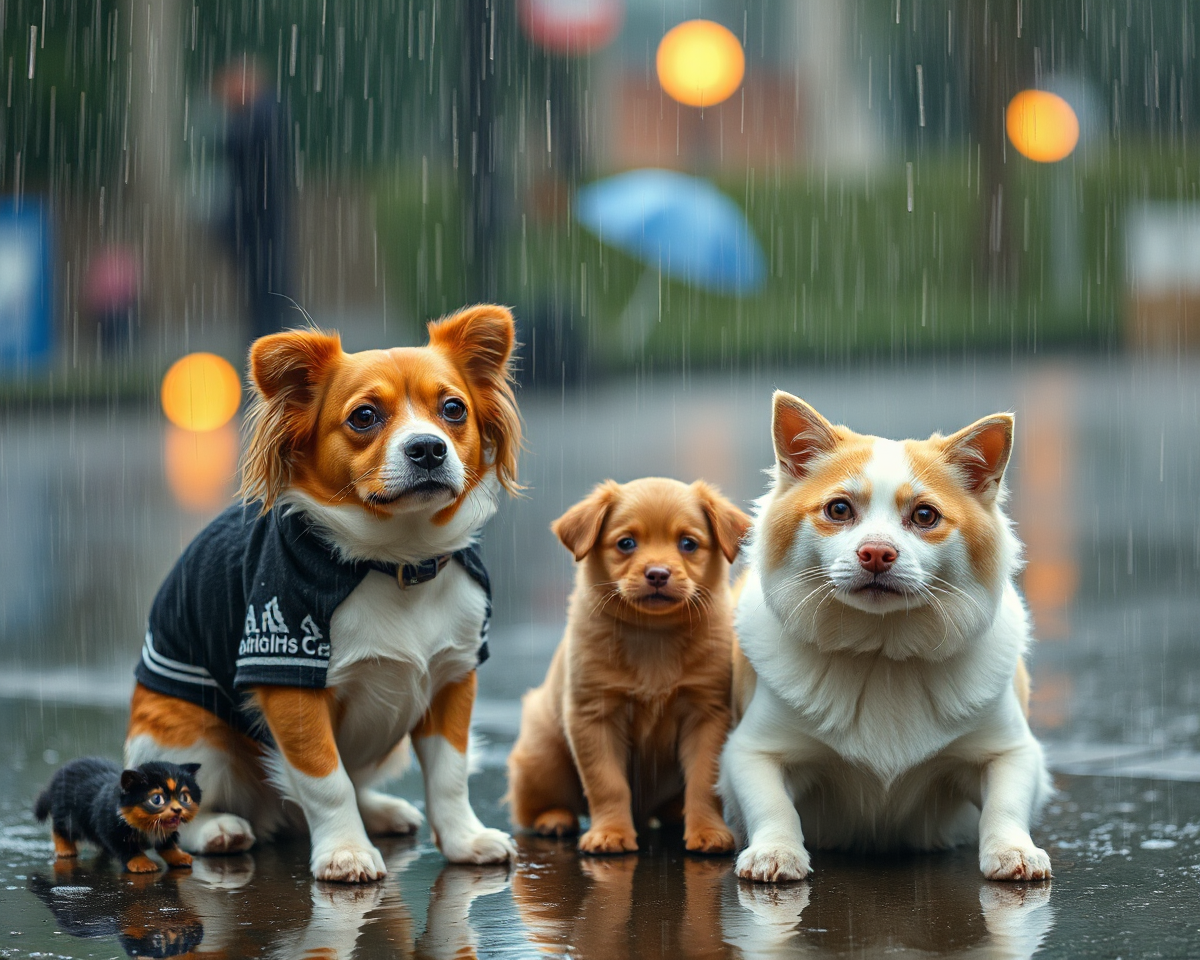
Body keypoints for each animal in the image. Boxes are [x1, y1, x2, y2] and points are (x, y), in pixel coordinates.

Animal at [34, 763, 201, 873]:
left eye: (184, 797)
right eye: (156, 799)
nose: (177, 810)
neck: (146, 825)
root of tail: (53, 783)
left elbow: (168, 843)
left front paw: (178, 857)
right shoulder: (110, 828)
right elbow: (126, 847)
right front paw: (140, 862)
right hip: (67, 815)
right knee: (61, 828)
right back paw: (65, 849)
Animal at [124, 303, 523, 883]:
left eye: (453, 409)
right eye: (364, 417)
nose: (428, 448)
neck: (394, 562)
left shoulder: (454, 677)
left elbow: (449, 775)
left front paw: (464, 840)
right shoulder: (292, 686)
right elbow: (326, 780)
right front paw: (346, 852)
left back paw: (381, 811)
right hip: (188, 732)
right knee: (184, 805)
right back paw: (219, 829)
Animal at [506, 477, 748, 854]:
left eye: (688, 543)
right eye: (626, 543)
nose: (658, 574)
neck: (653, 635)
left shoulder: (707, 714)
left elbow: (704, 781)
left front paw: (708, 831)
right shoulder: (594, 715)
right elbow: (607, 783)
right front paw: (610, 834)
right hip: (542, 757)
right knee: (532, 807)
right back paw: (554, 819)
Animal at [720, 391, 1051, 883]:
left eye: (925, 515)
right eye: (839, 509)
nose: (876, 553)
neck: (881, 651)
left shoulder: (1013, 751)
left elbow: (1005, 804)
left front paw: (1014, 850)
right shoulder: (750, 751)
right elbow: (772, 803)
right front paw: (775, 851)